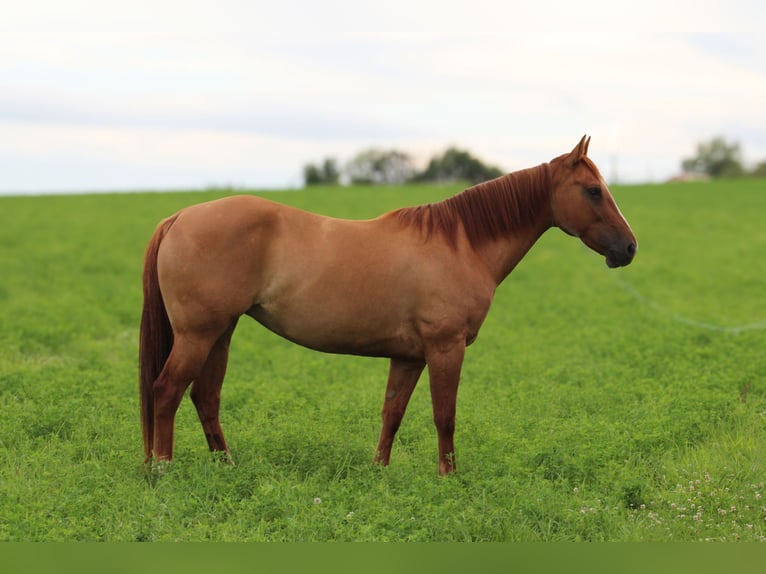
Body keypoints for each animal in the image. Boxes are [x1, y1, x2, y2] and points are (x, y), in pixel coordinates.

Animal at [139, 136, 636, 475]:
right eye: (593, 190)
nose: (628, 248)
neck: (460, 244)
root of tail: (179, 218)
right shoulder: (445, 348)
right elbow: (445, 416)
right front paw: (449, 477)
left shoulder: (408, 356)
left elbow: (392, 415)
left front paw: (379, 472)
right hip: (198, 334)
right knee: (167, 391)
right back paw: (163, 469)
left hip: (220, 333)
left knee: (205, 396)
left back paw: (225, 467)